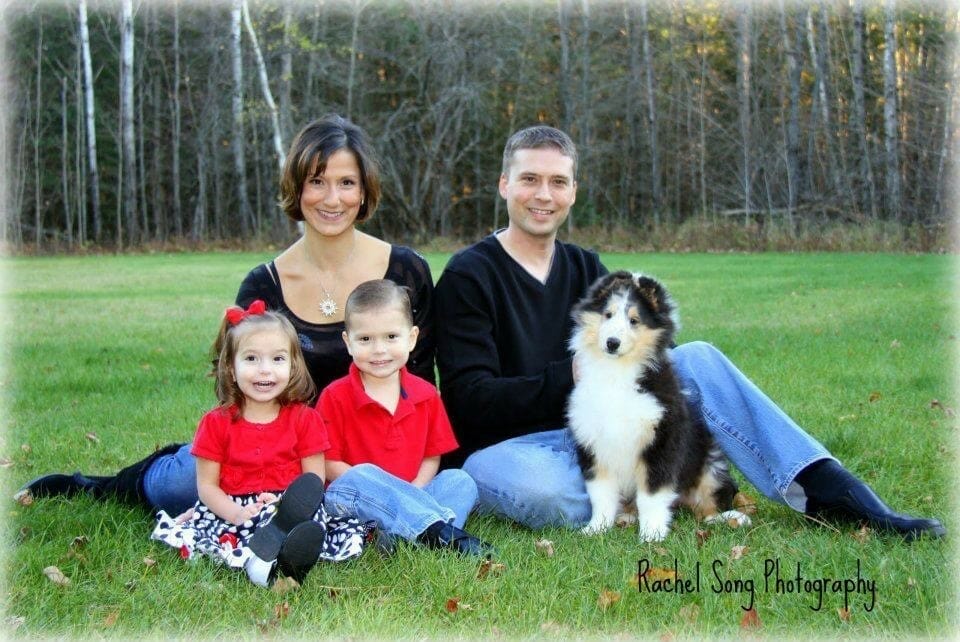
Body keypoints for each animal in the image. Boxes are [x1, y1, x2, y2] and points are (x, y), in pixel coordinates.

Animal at [568, 270, 752, 540]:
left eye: (634, 320)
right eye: (608, 314)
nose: (612, 343)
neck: (617, 372)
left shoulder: (660, 442)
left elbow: (651, 495)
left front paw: (652, 534)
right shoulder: (593, 443)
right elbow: (600, 494)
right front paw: (596, 528)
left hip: (711, 465)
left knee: (707, 508)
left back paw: (732, 518)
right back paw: (626, 517)